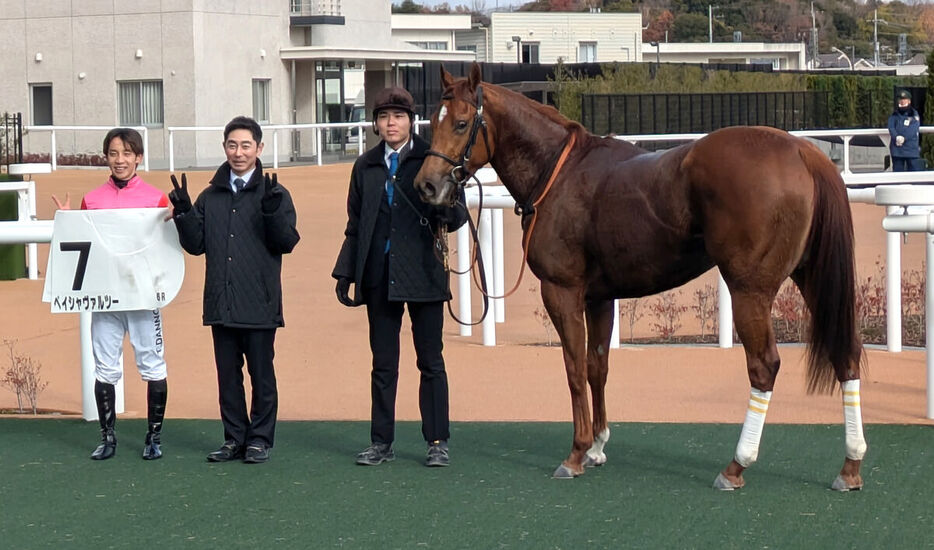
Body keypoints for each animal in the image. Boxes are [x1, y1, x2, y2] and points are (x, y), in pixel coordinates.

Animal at [416, 64, 872, 492]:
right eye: (432, 121)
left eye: (461, 123)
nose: (427, 186)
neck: (558, 173)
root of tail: (802, 150)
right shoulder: (598, 297)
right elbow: (597, 365)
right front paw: (598, 446)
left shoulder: (562, 291)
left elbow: (573, 368)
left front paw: (577, 452)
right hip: (810, 277)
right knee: (846, 353)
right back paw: (850, 466)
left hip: (750, 291)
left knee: (764, 367)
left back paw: (736, 465)